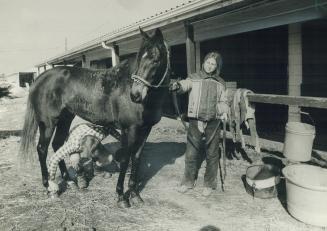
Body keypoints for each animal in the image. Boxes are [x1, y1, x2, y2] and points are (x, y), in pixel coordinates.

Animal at [19, 28, 172, 208]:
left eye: (156, 58)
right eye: (139, 56)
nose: (135, 95)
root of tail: (39, 79)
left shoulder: (145, 129)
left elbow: (137, 158)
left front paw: (135, 194)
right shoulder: (129, 129)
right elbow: (126, 158)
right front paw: (121, 196)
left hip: (65, 118)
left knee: (57, 145)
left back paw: (70, 181)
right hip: (48, 123)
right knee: (42, 149)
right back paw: (49, 186)